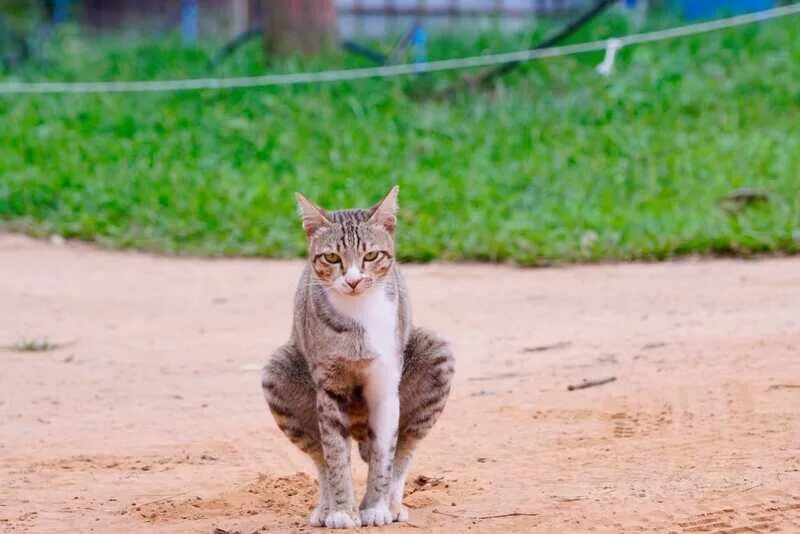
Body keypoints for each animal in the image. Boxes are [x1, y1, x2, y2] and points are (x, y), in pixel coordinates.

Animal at [260, 186, 454, 528]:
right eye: (332, 257)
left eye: (371, 256)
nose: (352, 280)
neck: (358, 317)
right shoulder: (327, 385)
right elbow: (335, 455)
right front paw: (341, 511)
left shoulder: (386, 385)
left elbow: (384, 455)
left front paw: (375, 507)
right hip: (277, 372)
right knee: (319, 454)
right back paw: (325, 508)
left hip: (436, 354)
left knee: (404, 448)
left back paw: (392, 503)